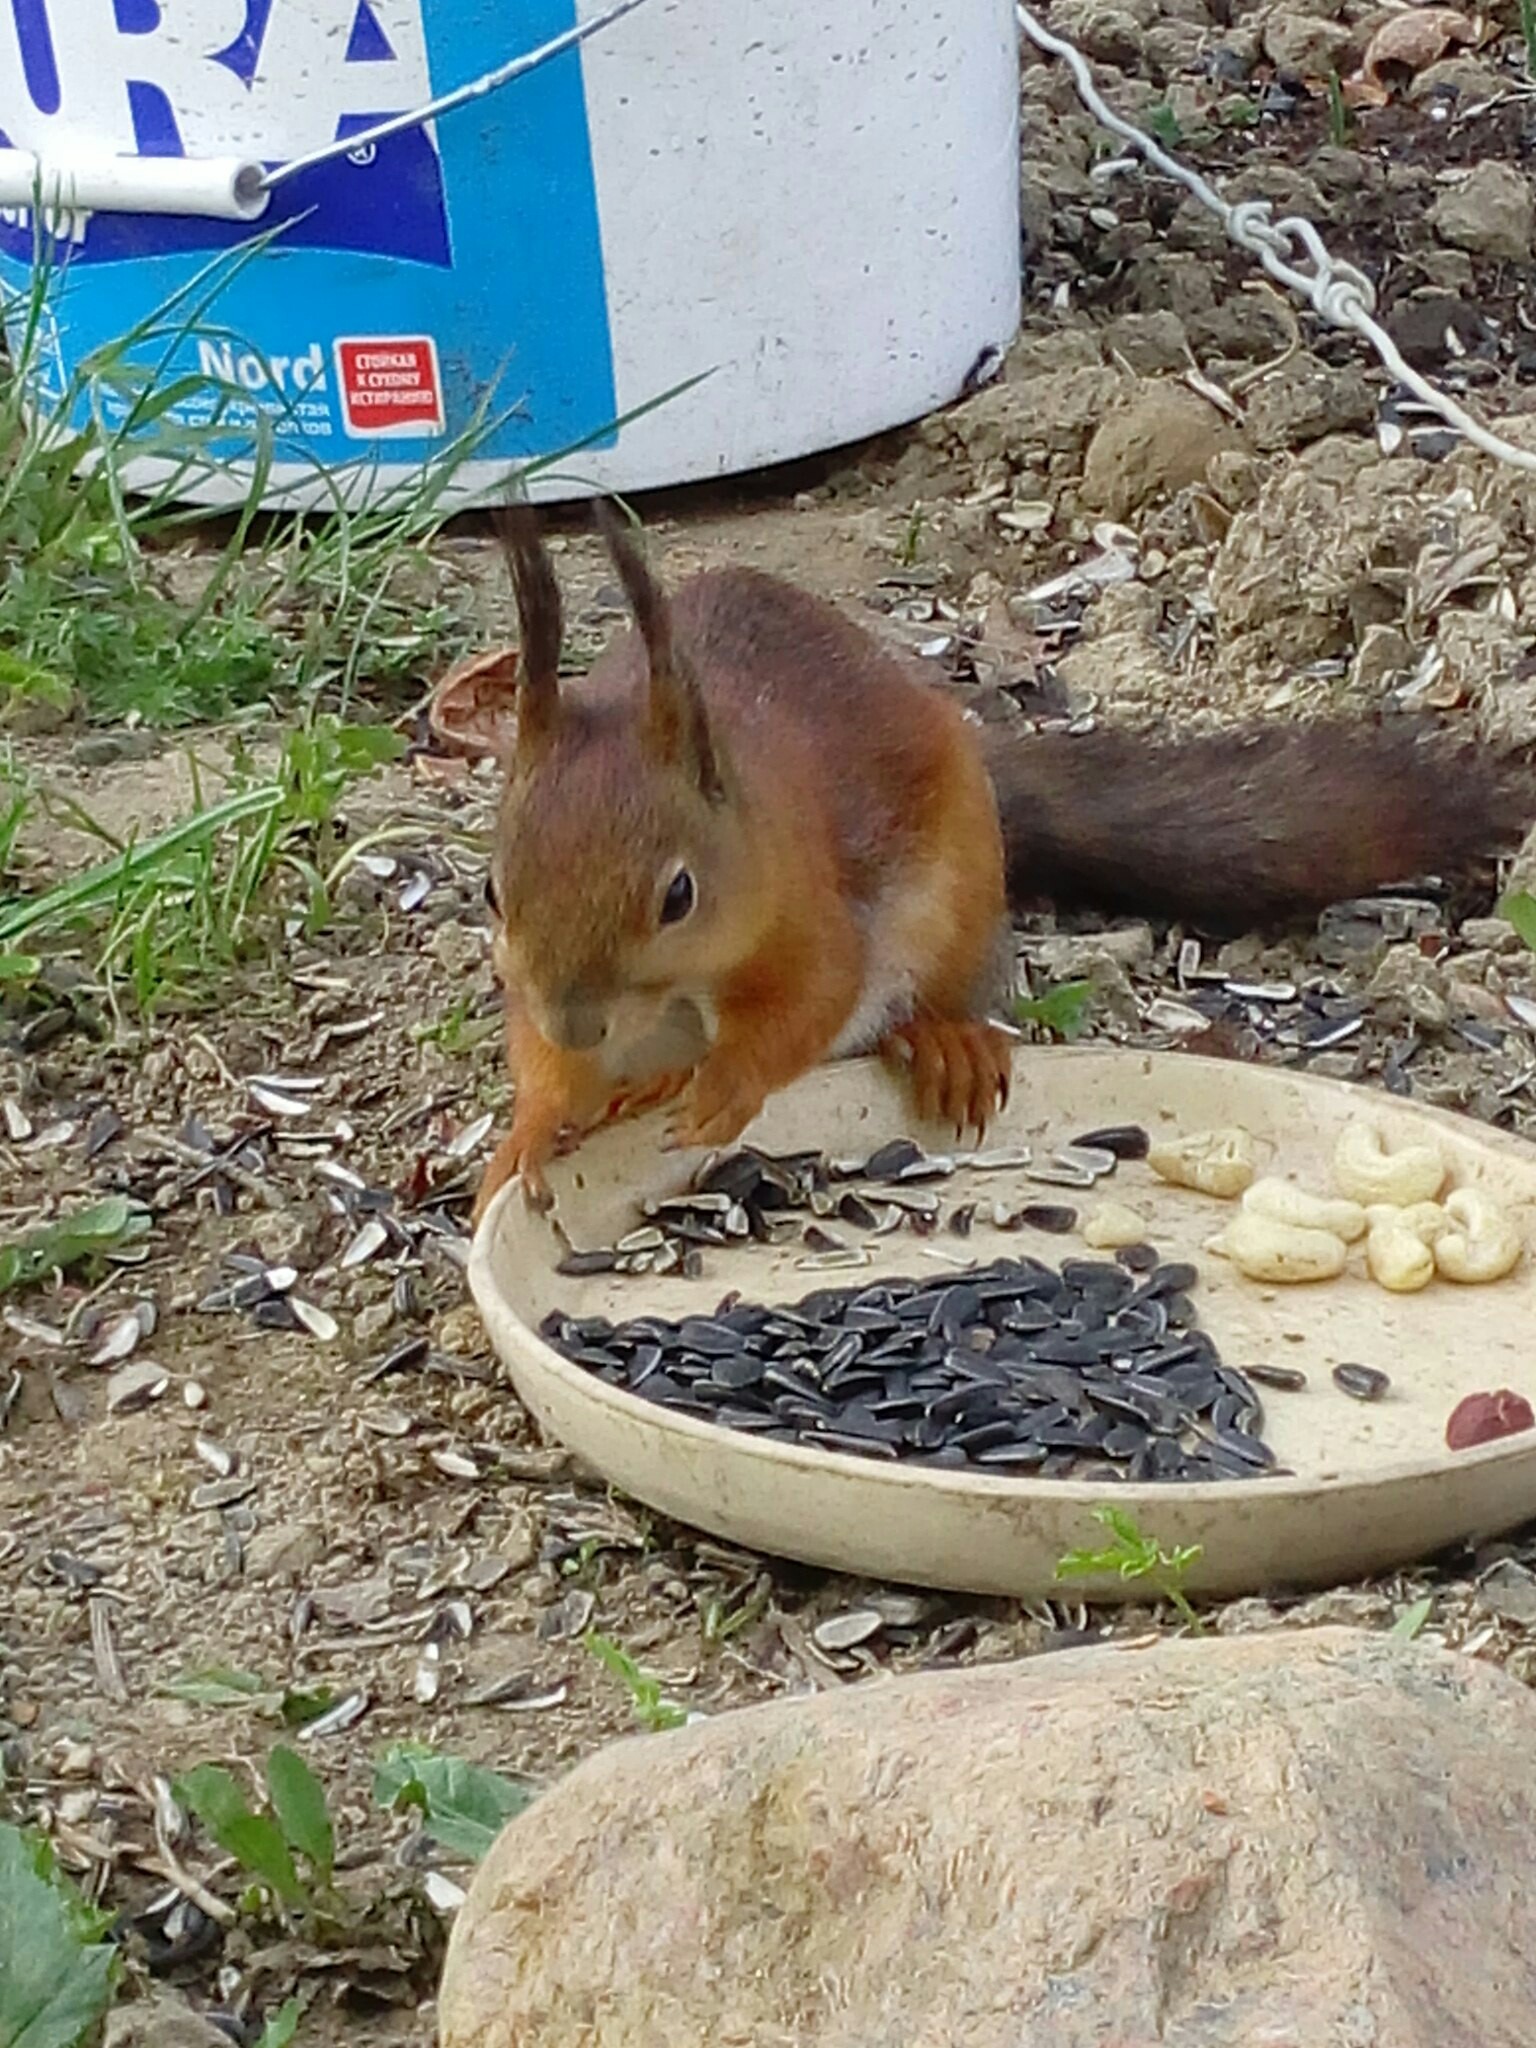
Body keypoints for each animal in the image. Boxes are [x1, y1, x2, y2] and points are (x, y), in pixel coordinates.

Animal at [438, 503, 1531, 1220]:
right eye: (492, 887)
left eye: (678, 894)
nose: (580, 1019)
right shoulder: (532, 989)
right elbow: (541, 1066)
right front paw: (529, 1133)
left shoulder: (811, 923)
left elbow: (807, 1005)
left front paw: (724, 1087)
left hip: (956, 893)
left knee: (925, 995)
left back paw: (943, 1042)